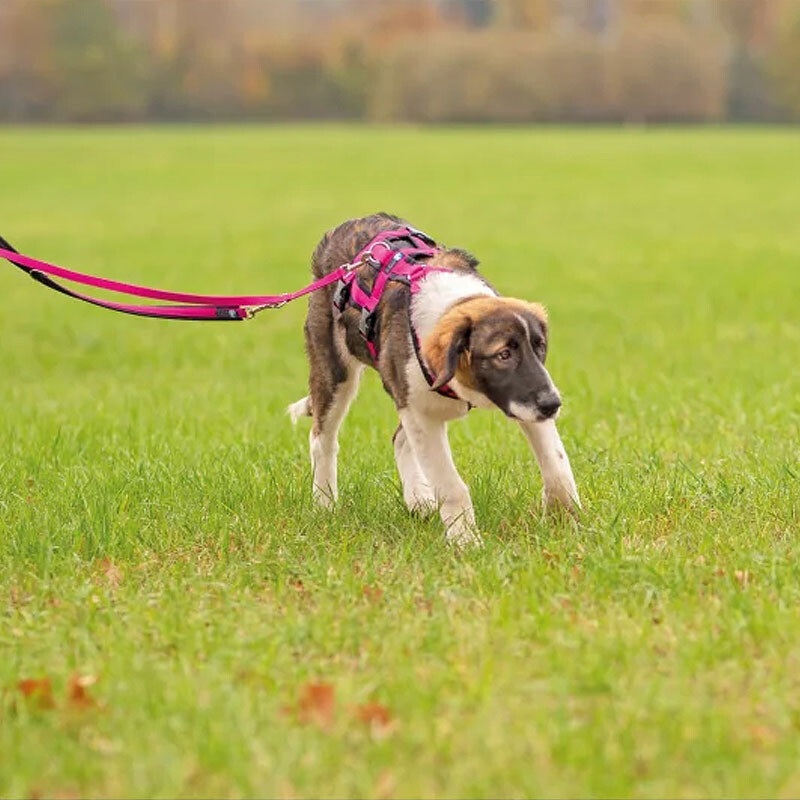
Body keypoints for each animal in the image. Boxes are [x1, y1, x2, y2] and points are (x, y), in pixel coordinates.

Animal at [290, 212, 580, 548]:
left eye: (540, 347)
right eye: (503, 355)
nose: (552, 404)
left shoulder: (524, 397)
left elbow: (557, 464)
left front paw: (565, 521)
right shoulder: (422, 412)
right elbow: (451, 485)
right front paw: (466, 542)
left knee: (399, 439)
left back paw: (419, 501)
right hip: (335, 371)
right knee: (322, 440)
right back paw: (325, 505)